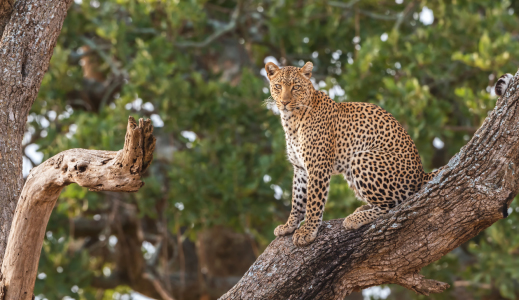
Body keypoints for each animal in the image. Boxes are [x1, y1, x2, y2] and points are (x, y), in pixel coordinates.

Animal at [266, 61, 440, 246]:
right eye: (278, 86)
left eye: (296, 87)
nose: (284, 102)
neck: (291, 121)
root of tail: (421, 173)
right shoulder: (300, 168)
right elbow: (297, 199)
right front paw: (289, 226)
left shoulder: (318, 166)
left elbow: (313, 201)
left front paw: (308, 231)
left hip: (360, 157)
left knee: (393, 205)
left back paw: (355, 218)